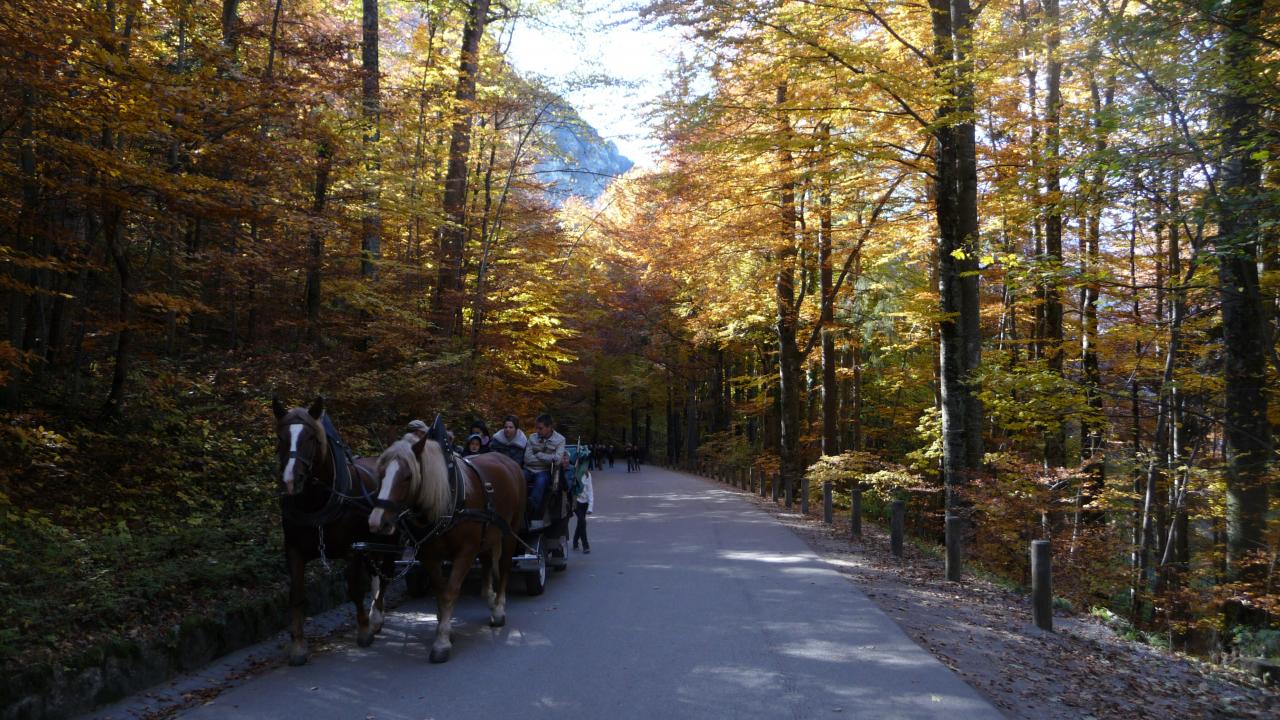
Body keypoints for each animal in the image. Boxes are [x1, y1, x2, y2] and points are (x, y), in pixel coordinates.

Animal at [268, 394, 389, 666]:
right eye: (280, 438)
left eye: (311, 438)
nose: (290, 480)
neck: (318, 503)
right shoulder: (293, 550)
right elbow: (297, 595)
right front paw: (298, 646)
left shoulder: (354, 549)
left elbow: (354, 589)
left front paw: (363, 631)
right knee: (376, 572)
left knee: (386, 573)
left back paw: (376, 616)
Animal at [371, 430, 524, 661]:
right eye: (380, 473)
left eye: (408, 476)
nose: (377, 521)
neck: (449, 501)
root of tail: (508, 461)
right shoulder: (429, 554)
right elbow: (439, 590)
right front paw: (444, 628)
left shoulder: (466, 552)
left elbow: (450, 591)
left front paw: (442, 641)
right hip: (488, 534)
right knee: (488, 562)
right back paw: (489, 597)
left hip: (510, 532)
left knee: (505, 565)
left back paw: (498, 609)